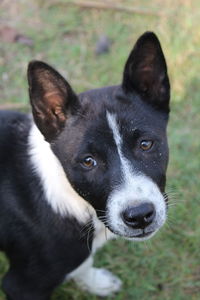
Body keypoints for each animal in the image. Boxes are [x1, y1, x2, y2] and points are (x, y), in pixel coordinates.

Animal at [0, 31, 170, 298]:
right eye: (88, 161)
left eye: (145, 144)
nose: (140, 216)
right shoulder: (23, 285)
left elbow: (84, 263)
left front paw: (95, 282)